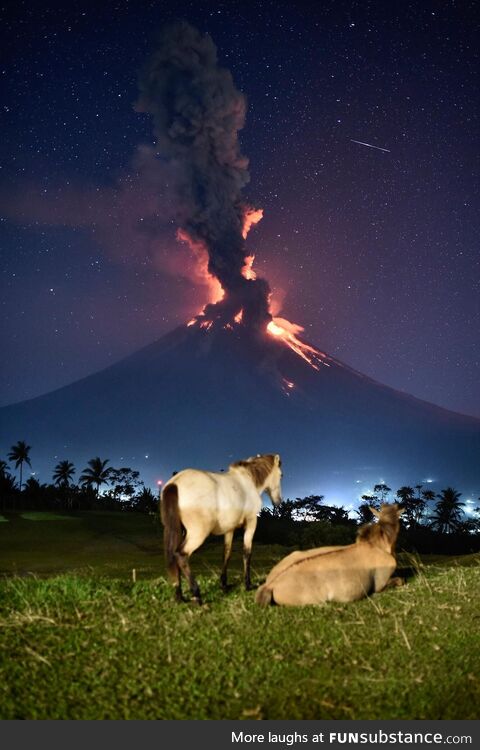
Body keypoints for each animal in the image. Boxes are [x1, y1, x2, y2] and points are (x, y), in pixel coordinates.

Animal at [159, 452, 284, 604]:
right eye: (281, 475)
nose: (278, 501)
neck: (247, 480)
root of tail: (175, 483)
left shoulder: (229, 529)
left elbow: (227, 553)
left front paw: (223, 584)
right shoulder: (251, 523)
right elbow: (247, 553)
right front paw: (247, 584)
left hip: (178, 531)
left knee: (173, 556)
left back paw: (180, 596)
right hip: (197, 534)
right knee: (180, 555)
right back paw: (197, 594)